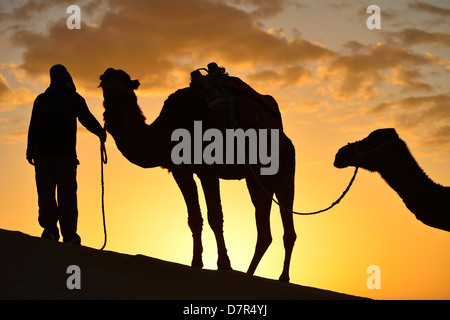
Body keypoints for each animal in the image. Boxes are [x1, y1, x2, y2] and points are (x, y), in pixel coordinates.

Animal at [97, 67, 298, 280]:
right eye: (102, 85)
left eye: (124, 82)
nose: (108, 74)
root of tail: (284, 137)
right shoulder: (180, 171)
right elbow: (194, 218)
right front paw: (196, 262)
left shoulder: (207, 169)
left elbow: (215, 216)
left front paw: (224, 264)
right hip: (257, 179)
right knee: (273, 231)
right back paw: (261, 274)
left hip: (276, 173)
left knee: (273, 228)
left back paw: (277, 277)